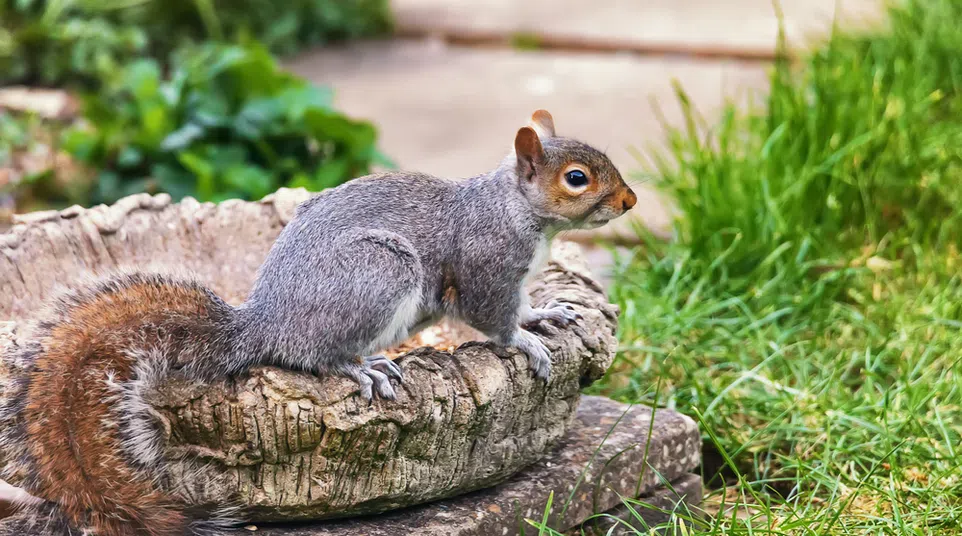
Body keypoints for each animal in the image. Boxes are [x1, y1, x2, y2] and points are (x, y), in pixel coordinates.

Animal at [0, 110, 636, 536]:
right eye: (577, 178)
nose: (630, 202)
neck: (516, 210)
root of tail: (265, 325)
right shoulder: (485, 266)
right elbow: (493, 318)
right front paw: (527, 343)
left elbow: (524, 305)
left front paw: (547, 312)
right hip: (379, 272)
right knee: (312, 357)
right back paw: (361, 369)